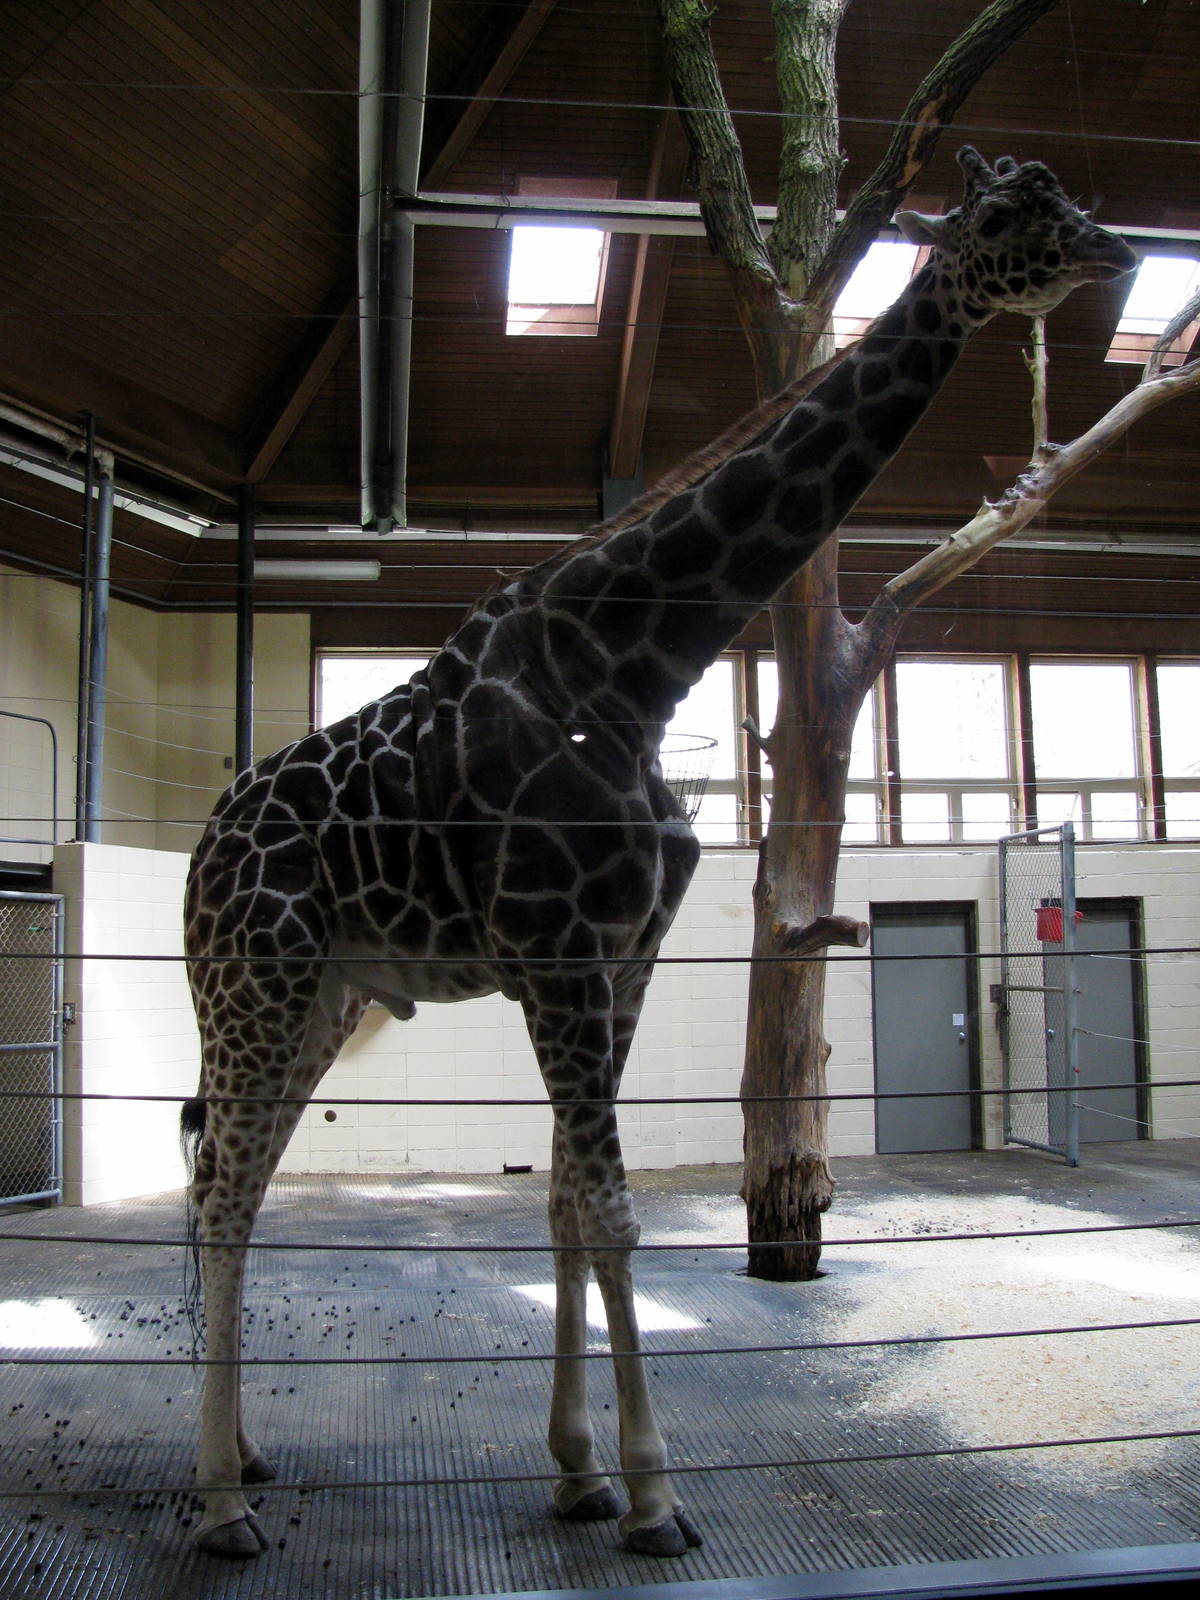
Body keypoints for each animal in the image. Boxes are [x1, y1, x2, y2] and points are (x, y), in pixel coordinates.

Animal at [180, 148, 1134, 1558]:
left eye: (1065, 194)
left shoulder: (620, 963)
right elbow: (617, 1211)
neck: (632, 667)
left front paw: (580, 1471)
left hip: (319, 1000)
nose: (1118, 250)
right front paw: (655, 1496)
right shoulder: (563, 959)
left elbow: (569, 1202)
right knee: (220, 1191)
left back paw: (244, 1454)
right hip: (256, 983)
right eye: (1014, 213)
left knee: (225, 1180)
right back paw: (218, 1502)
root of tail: (202, 854)